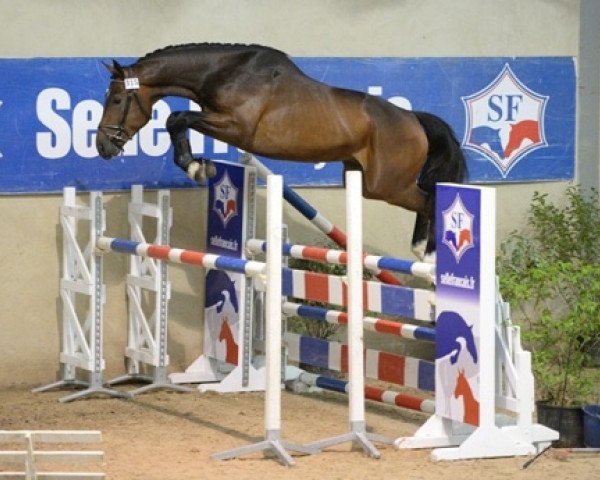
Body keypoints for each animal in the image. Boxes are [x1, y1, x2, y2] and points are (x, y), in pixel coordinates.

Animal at [96, 43, 466, 260]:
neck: (225, 73)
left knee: (429, 199)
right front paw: (198, 166)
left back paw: (429, 256)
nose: (102, 146)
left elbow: (177, 118)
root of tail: (413, 119)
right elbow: (178, 121)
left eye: (116, 100)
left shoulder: (237, 127)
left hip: (387, 185)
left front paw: (196, 167)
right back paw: (422, 253)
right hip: (362, 180)